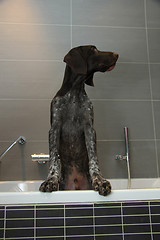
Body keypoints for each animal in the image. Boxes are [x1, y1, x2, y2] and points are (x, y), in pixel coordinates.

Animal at [39, 45, 118, 195]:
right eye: (93, 50)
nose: (116, 54)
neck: (75, 91)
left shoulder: (89, 128)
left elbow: (93, 158)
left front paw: (99, 180)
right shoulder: (54, 128)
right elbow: (54, 158)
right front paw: (51, 180)